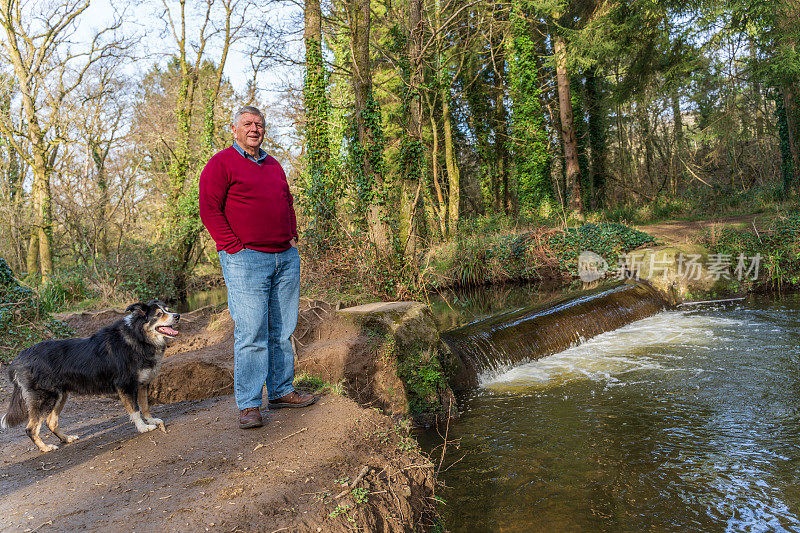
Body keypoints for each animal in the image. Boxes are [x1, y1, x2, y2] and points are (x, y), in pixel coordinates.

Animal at [1, 302, 180, 450]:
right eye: (158, 314)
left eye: (168, 309)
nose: (178, 315)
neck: (138, 337)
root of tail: (19, 358)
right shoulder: (126, 386)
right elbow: (135, 410)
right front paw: (143, 428)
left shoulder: (143, 384)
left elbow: (145, 407)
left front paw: (151, 420)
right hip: (45, 398)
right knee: (30, 429)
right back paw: (46, 448)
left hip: (60, 396)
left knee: (51, 423)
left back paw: (66, 439)